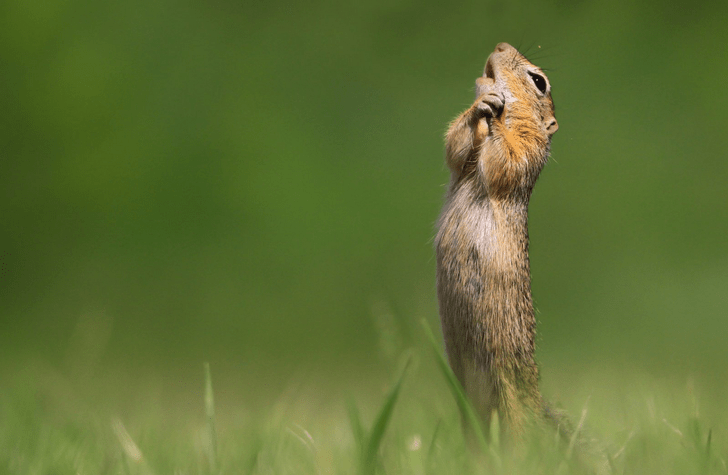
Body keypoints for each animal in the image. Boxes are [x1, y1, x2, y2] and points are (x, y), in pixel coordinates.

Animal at [436, 43, 560, 438]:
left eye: (539, 81)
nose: (501, 46)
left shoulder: (527, 149)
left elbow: (505, 160)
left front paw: (494, 109)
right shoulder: (461, 161)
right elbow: (456, 146)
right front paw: (481, 105)